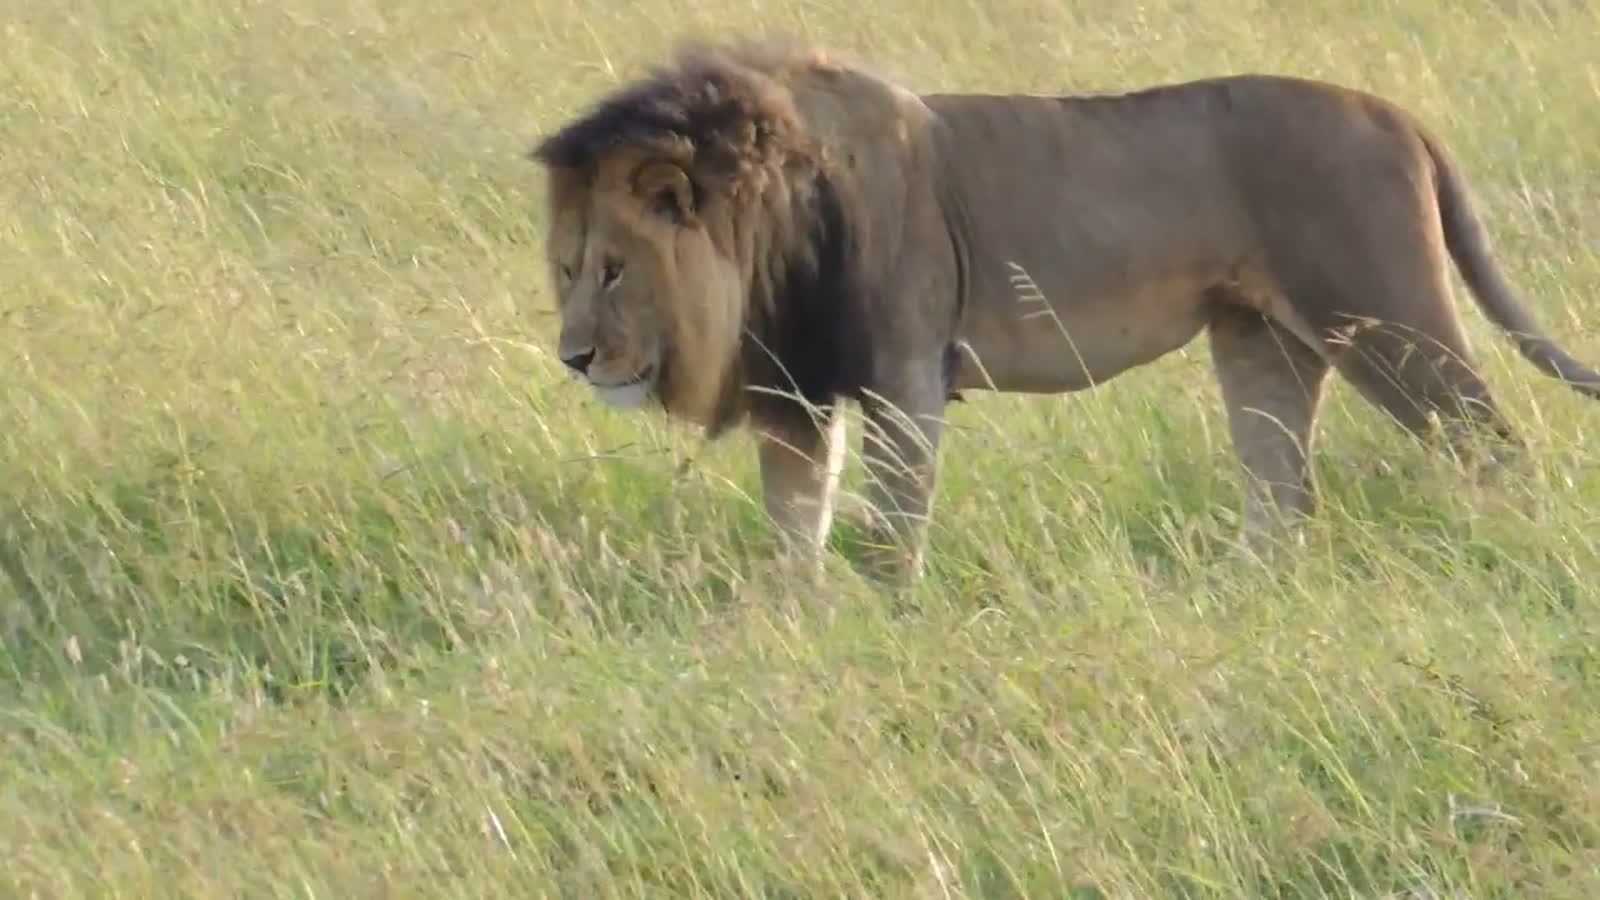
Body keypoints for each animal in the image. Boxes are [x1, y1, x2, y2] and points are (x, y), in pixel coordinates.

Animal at [528, 38, 1600, 581]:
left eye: (616, 272)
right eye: (569, 268)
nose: (573, 358)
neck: (765, 238)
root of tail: (1399, 114)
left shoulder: (906, 372)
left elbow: (890, 527)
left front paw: (885, 612)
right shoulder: (795, 389)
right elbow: (796, 525)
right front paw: (793, 623)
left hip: (1385, 318)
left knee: (1492, 446)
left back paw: (1507, 552)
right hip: (1263, 343)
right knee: (1281, 490)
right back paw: (1240, 594)